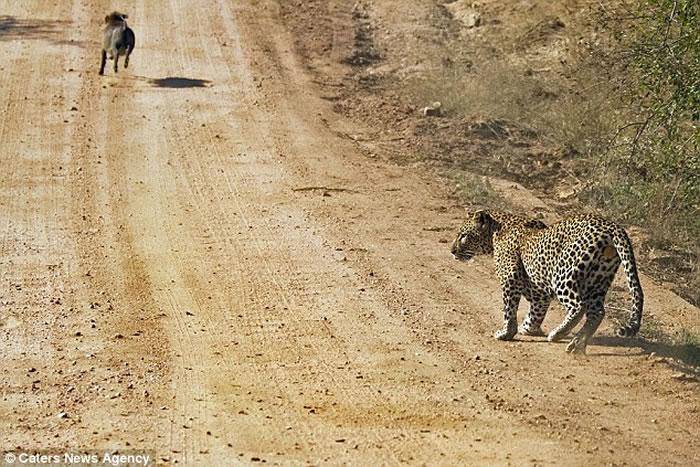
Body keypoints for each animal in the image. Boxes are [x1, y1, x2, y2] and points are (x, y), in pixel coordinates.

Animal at [452, 210, 644, 352]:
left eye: (463, 236)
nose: (452, 251)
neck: (496, 229)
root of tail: (611, 226)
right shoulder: (539, 291)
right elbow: (537, 311)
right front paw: (528, 328)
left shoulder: (510, 278)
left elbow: (509, 310)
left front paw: (506, 333)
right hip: (598, 281)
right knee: (597, 312)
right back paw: (577, 343)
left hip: (564, 275)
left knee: (578, 306)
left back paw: (558, 334)